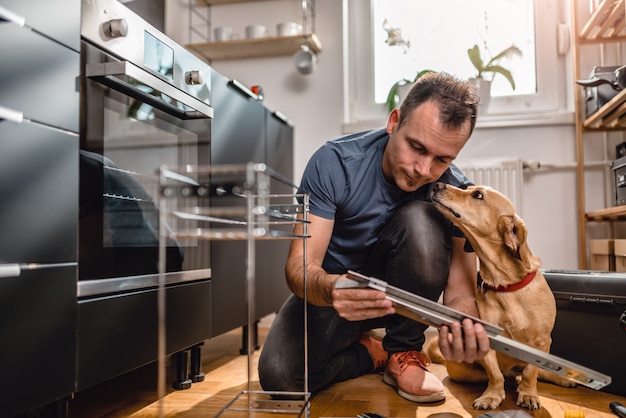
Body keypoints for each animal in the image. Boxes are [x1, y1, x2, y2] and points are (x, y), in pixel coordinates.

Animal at [426, 184, 572, 412]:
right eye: (468, 188)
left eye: (477, 195)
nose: (437, 184)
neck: (506, 284)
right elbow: (495, 375)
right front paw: (492, 396)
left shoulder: (541, 341)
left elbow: (531, 373)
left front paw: (529, 394)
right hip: (462, 372)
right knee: (504, 377)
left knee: (536, 373)